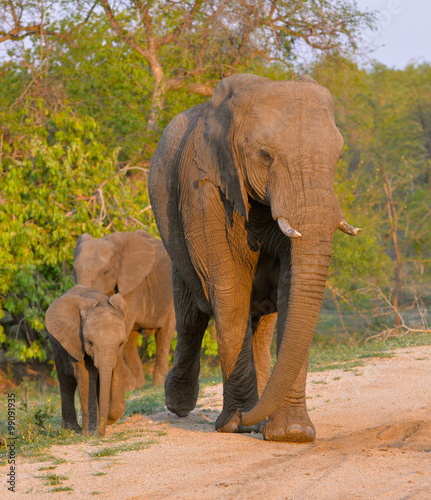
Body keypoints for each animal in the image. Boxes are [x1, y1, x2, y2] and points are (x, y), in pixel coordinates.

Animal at [46, 286, 130, 438]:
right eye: (90, 342)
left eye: (120, 343)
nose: (100, 434)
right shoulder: (75, 340)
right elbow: (86, 375)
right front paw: (90, 433)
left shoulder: (120, 350)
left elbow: (115, 372)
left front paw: (105, 420)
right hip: (56, 344)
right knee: (67, 381)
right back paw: (71, 429)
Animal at [74, 229, 176, 388]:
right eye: (74, 270)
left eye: (106, 271)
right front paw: (130, 386)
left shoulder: (134, 285)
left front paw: (127, 386)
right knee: (132, 340)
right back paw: (139, 385)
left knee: (164, 335)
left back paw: (157, 383)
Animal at [149, 73, 362, 442]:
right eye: (265, 155)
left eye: (337, 158)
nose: (247, 417)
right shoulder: (203, 190)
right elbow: (228, 288)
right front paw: (237, 424)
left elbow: (291, 293)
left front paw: (291, 432)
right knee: (190, 315)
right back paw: (180, 405)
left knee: (262, 322)